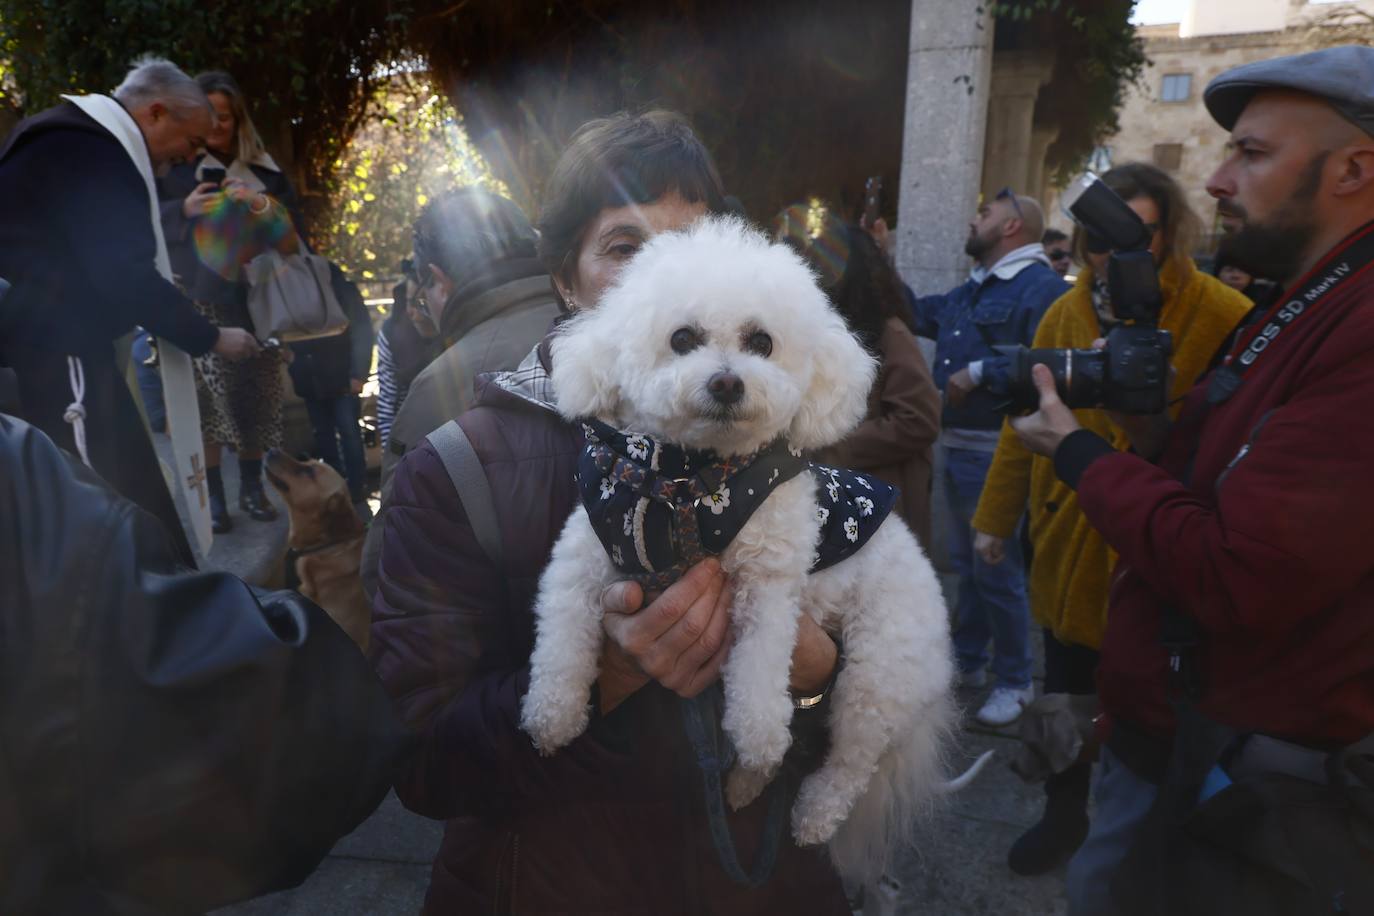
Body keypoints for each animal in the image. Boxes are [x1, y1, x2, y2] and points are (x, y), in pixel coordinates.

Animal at [516, 215, 956, 878]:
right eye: (682, 338)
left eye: (762, 342)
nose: (727, 381)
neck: (687, 485)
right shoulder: (581, 563)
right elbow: (561, 643)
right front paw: (553, 716)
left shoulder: (768, 588)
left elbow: (759, 666)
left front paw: (760, 732)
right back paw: (747, 784)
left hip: (881, 669)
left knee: (852, 761)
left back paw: (809, 811)